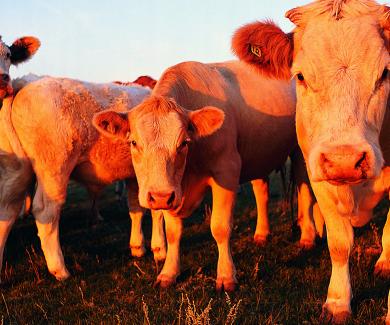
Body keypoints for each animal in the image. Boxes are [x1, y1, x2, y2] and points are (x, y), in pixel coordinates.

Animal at [0, 77, 166, 280]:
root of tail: (23, 83)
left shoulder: (134, 175)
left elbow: (136, 209)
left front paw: (138, 247)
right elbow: (157, 210)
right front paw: (160, 250)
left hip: (15, 171)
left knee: (7, 210)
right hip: (54, 170)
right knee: (46, 212)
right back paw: (60, 269)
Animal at [93, 58, 318, 292]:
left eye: (183, 143)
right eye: (134, 142)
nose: (159, 196)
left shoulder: (226, 171)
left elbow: (220, 227)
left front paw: (226, 276)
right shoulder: (174, 188)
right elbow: (173, 232)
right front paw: (168, 272)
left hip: (299, 151)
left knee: (305, 190)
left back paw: (308, 237)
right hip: (258, 154)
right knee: (261, 193)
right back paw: (262, 234)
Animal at [232, 0, 390, 320]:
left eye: (385, 73)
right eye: (301, 76)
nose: (344, 160)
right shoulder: (320, 176)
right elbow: (339, 244)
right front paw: (338, 302)